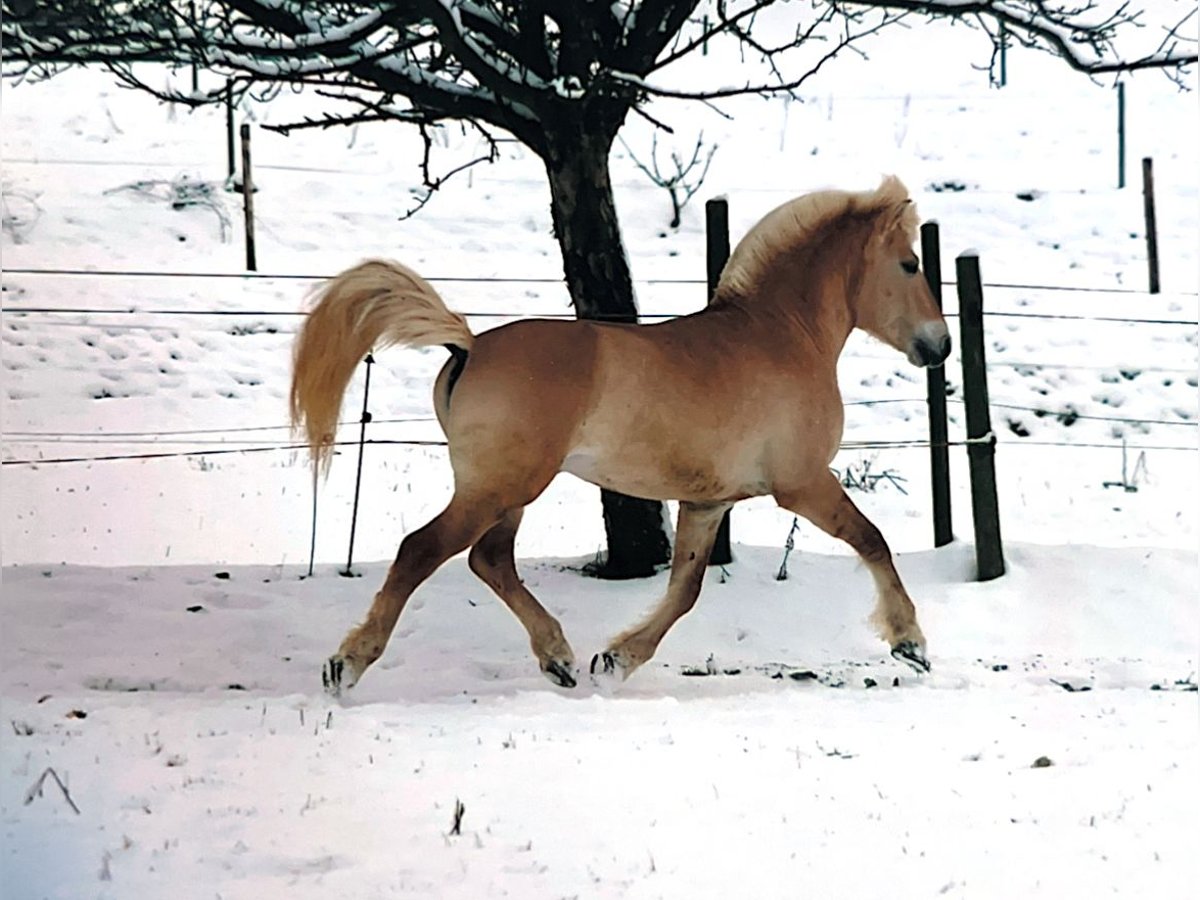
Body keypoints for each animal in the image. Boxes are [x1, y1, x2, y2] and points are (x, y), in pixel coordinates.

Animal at [288, 176, 945, 696]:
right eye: (911, 264)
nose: (939, 346)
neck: (781, 336)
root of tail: (469, 344)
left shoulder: (707, 503)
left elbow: (684, 590)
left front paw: (615, 661)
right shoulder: (802, 484)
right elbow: (873, 540)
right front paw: (910, 643)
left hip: (505, 491)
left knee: (490, 559)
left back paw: (560, 659)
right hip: (498, 487)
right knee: (421, 550)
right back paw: (346, 666)